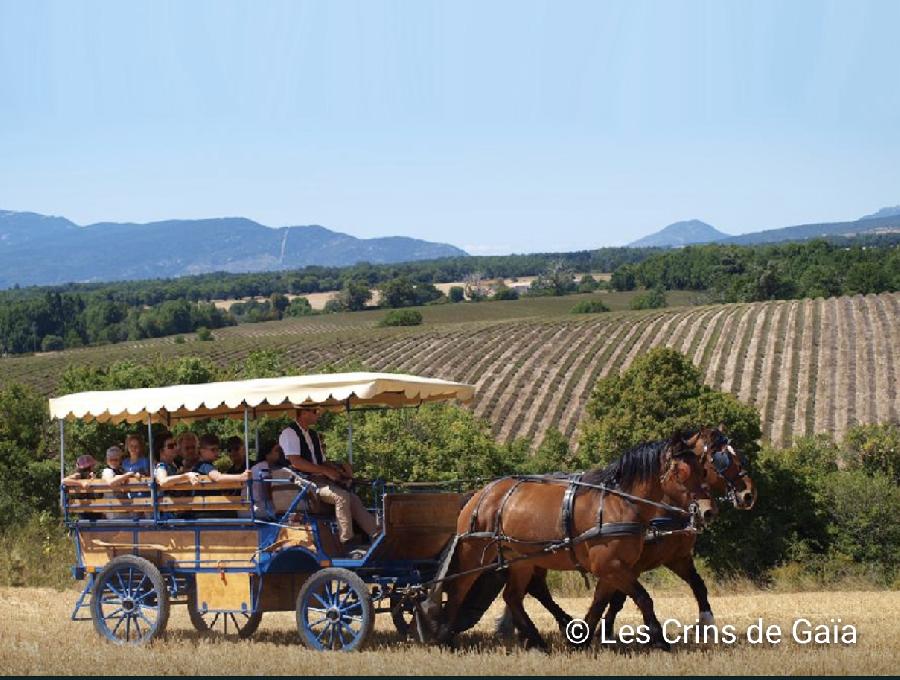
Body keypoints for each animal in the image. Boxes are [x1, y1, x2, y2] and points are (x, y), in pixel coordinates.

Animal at [428, 432, 716, 652]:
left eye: (703, 470)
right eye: (681, 471)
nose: (707, 511)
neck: (619, 504)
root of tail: (480, 494)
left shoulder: (614, 568)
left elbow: (600, 602)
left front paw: (581, 638)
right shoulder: (611, 566)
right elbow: (643, 598)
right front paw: (658, 639)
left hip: (520, 560)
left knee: (513, 597)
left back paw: (537, 640)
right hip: (473, 553)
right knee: (458, 589)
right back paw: (444, 635)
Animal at [496, 428, 756, 644]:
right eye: (721, 459)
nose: (749, 495)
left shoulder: (676, 557)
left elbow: (698, 586)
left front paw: (706, 624)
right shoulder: (627, 563)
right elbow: (617, 598)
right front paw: (605, 632)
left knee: (532, 589)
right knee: (533, 589)